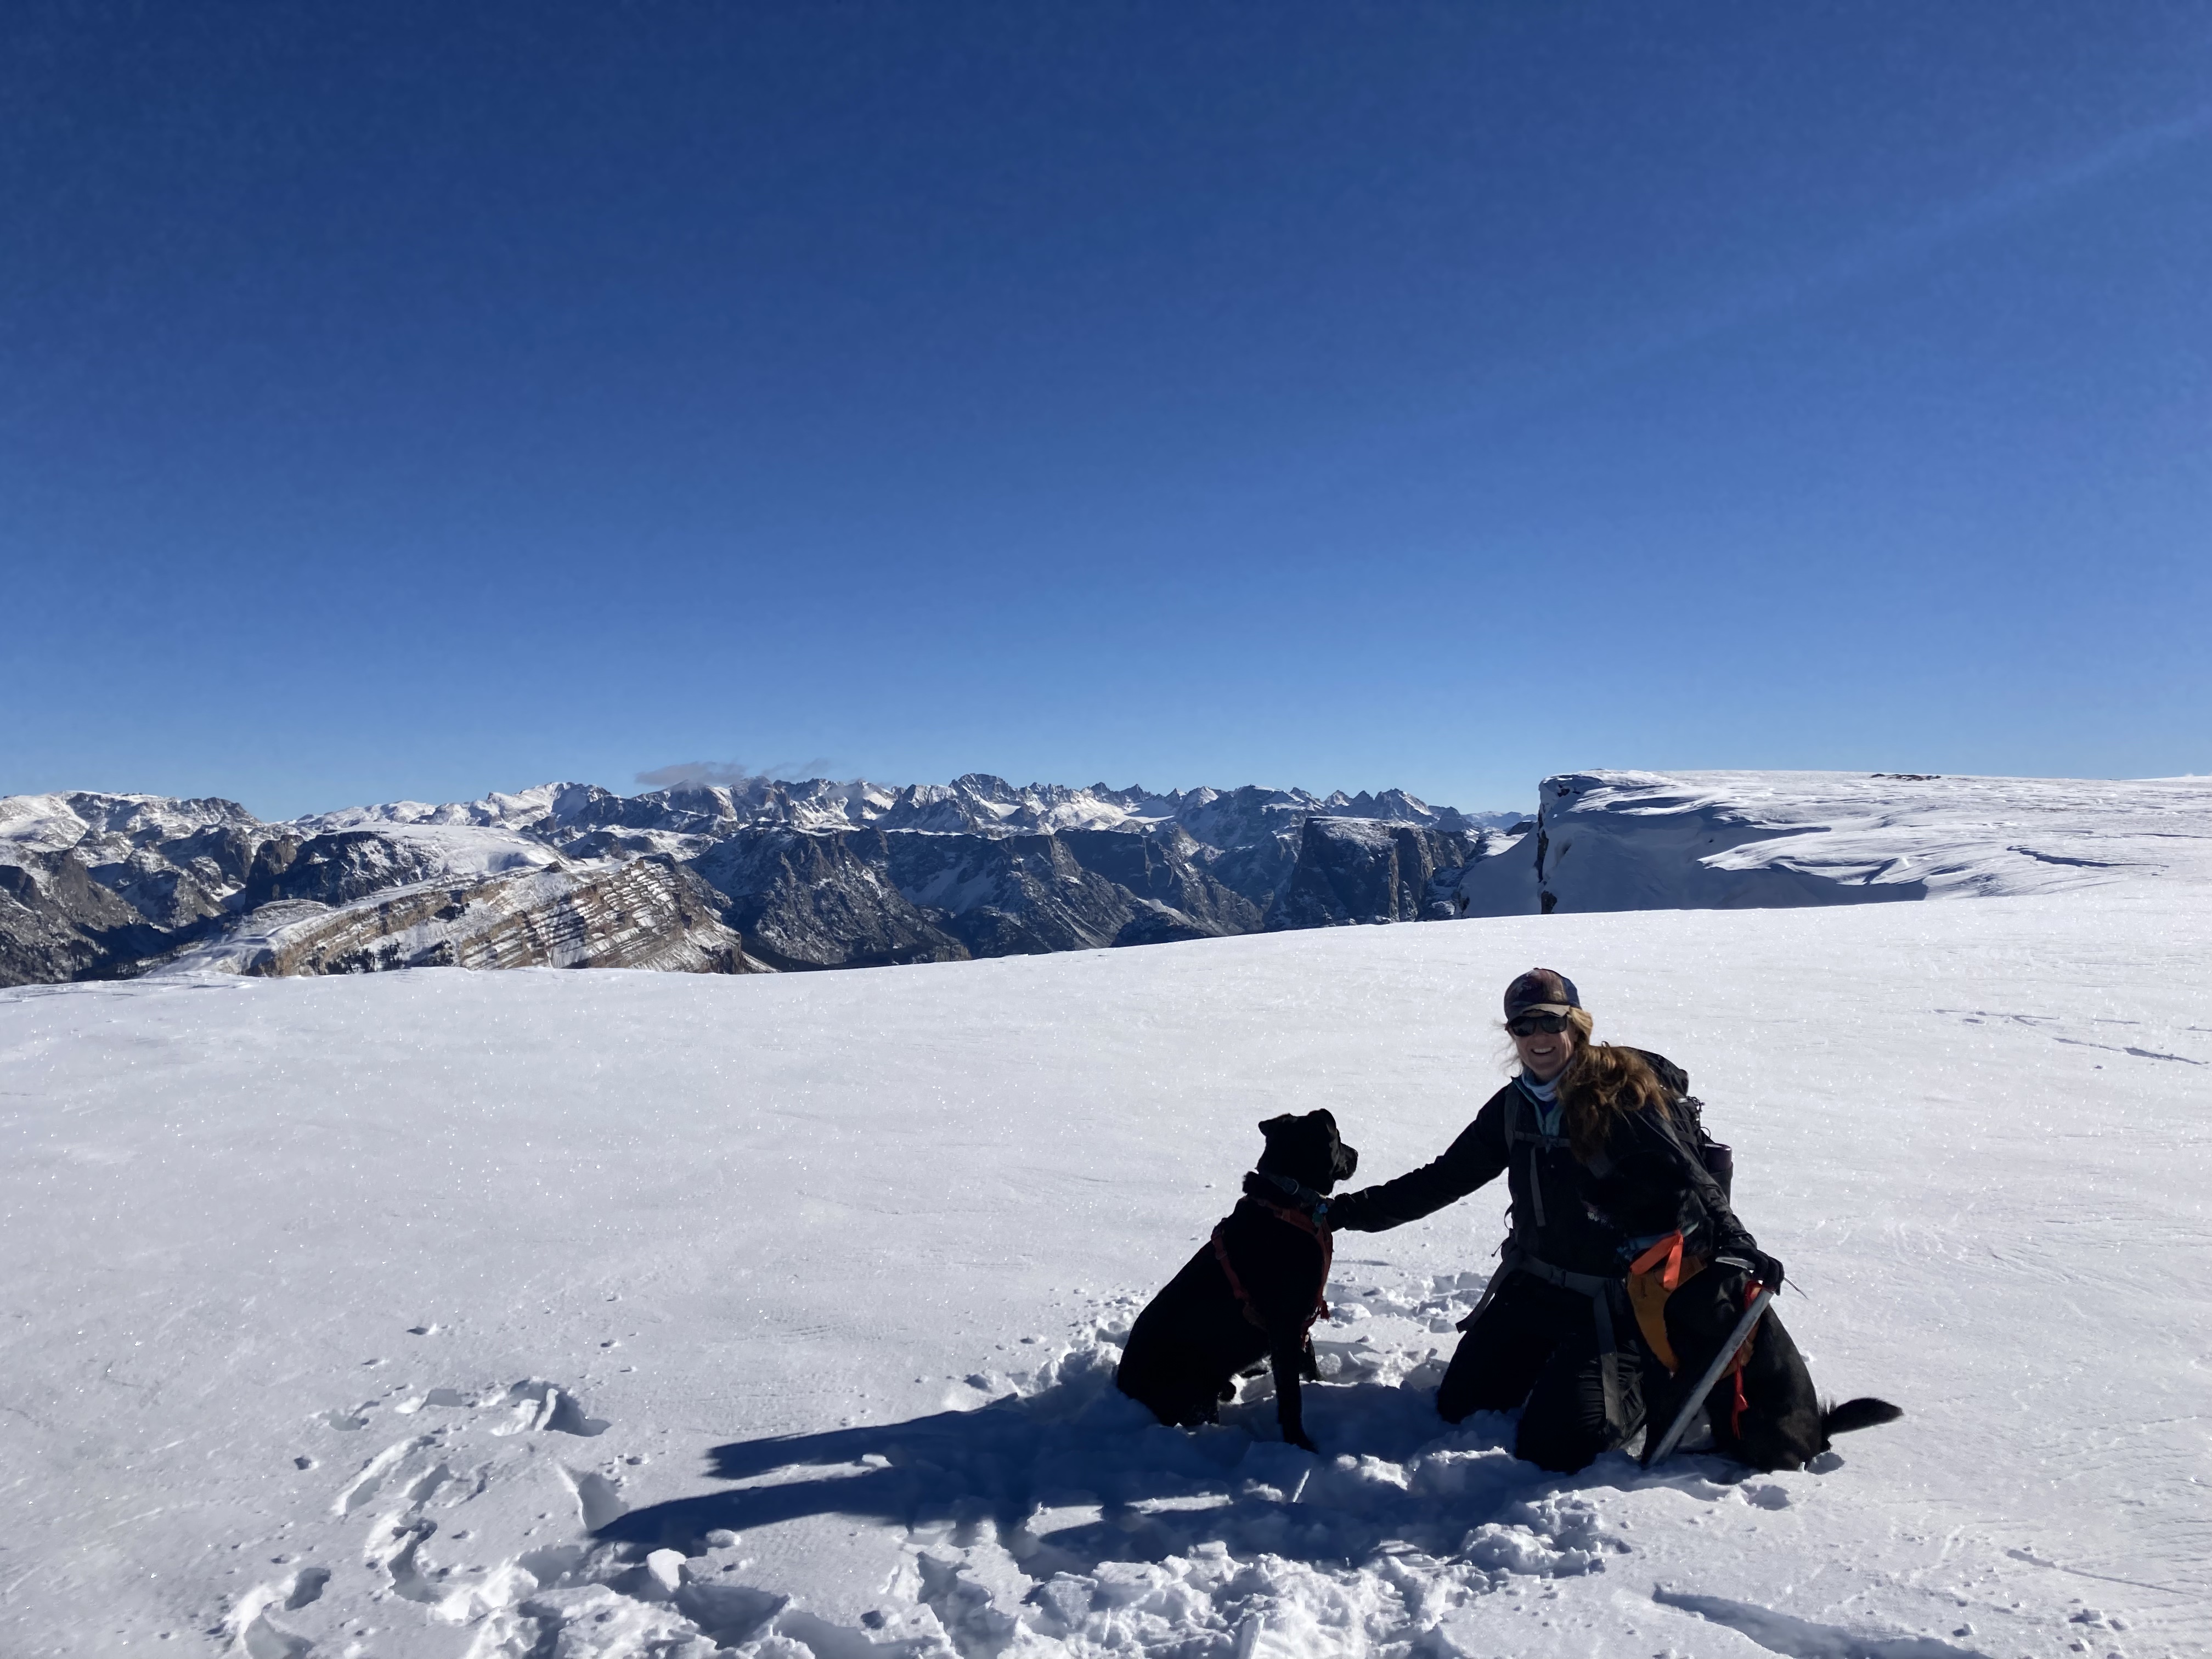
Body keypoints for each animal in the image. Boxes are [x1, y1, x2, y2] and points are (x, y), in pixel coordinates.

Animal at [1115, 1119, 1353, 1451]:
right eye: (1339, 1139)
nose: (1356, 1154)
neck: (1288, 1198)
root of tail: (1122, 1383)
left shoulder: (1300, 1322)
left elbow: (1309, 1361)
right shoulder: (1286, 1323)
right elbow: (1291, 1396)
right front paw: (1301, 1445)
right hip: (1194, 1397)